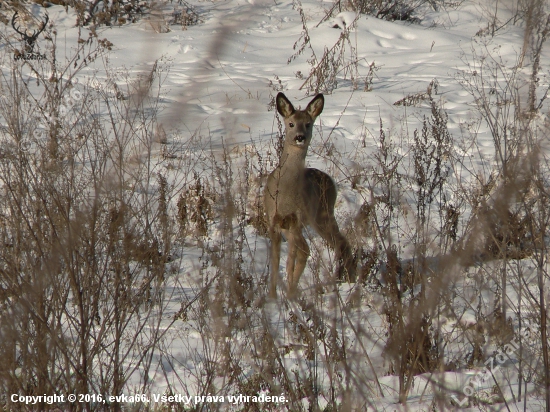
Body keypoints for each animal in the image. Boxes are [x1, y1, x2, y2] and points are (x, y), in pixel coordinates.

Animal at [264, 91, 358, 298]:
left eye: (308, 123)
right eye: (291, 123)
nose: (300, 137)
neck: (285, 192)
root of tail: (330, 180)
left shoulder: (296, 220)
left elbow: (290, 260)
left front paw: (287, 295)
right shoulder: (274, 220)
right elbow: (275, 263)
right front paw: (272, 297)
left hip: (322, 215)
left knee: (337, 242)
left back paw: (344, 280)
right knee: (310, 248)